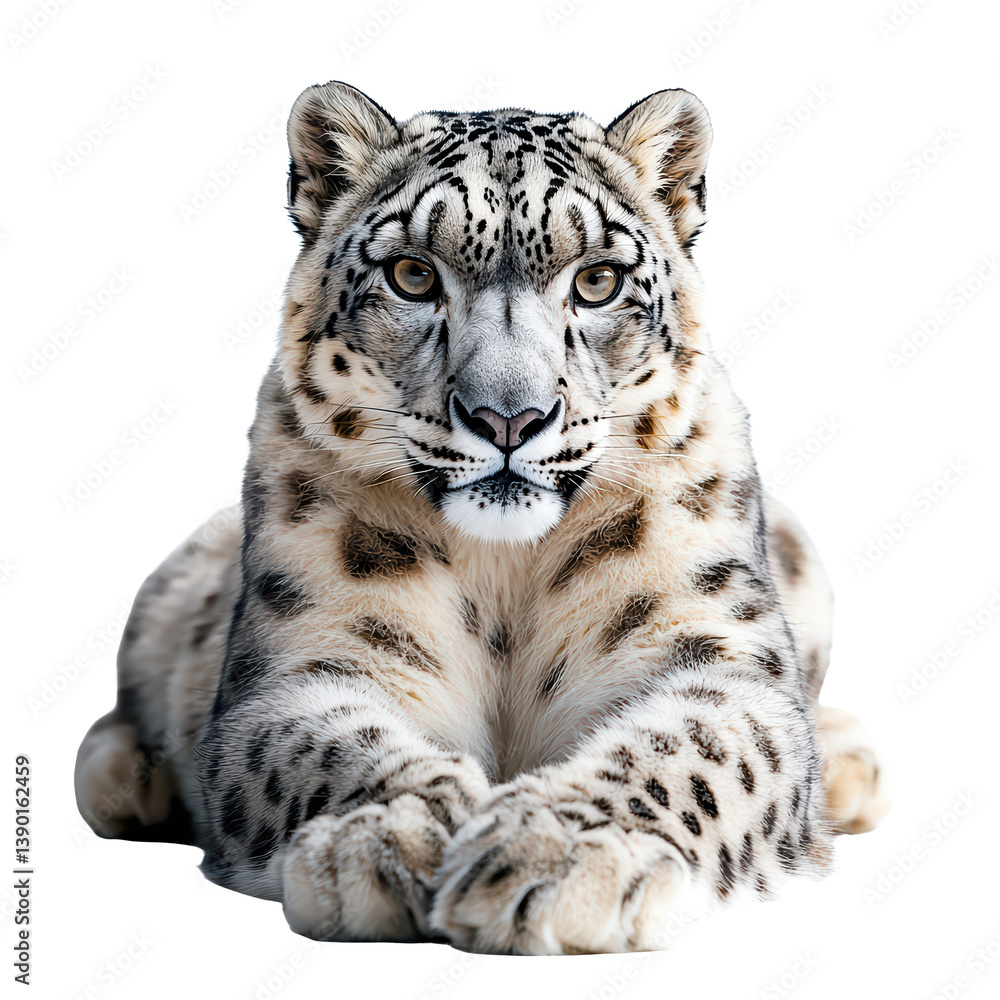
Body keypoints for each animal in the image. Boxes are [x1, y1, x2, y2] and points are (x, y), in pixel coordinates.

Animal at [75, 81, 891, 954]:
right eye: (412, 274)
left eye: (597, 281)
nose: (508, 418)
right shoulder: (307, 661)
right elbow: (329, 747)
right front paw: (388, 836)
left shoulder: (713, 655)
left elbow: (693, 752)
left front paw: (560, 856)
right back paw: (127, 777)